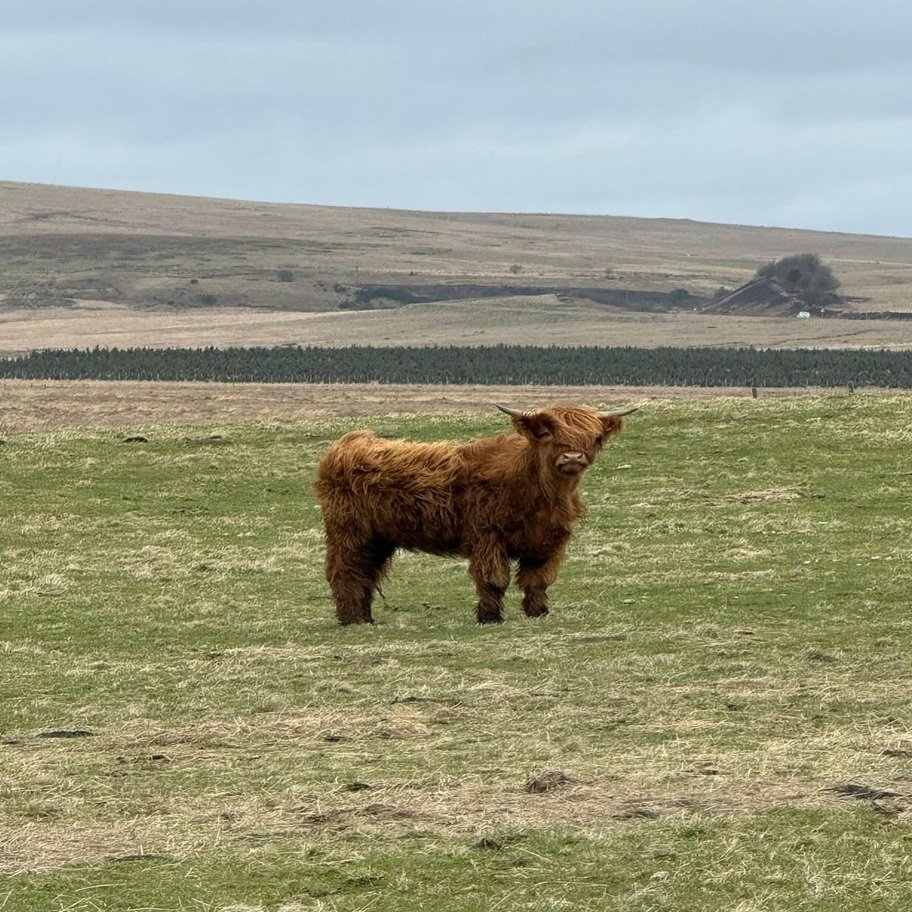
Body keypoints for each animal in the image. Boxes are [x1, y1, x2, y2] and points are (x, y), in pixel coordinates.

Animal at [314, 403, 636, 625]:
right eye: (546, 433)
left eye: (595, 437)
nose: (572, 457)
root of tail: (346, 444)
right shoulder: (486, 535)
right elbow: (494, 578)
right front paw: (490, 617)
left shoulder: (549, 541)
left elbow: (538, 579)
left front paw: (538, 612)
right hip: (350, 531)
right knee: (345, 570)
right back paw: (352, 619)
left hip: (379, 538)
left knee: (367, 572)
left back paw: (365, 616)